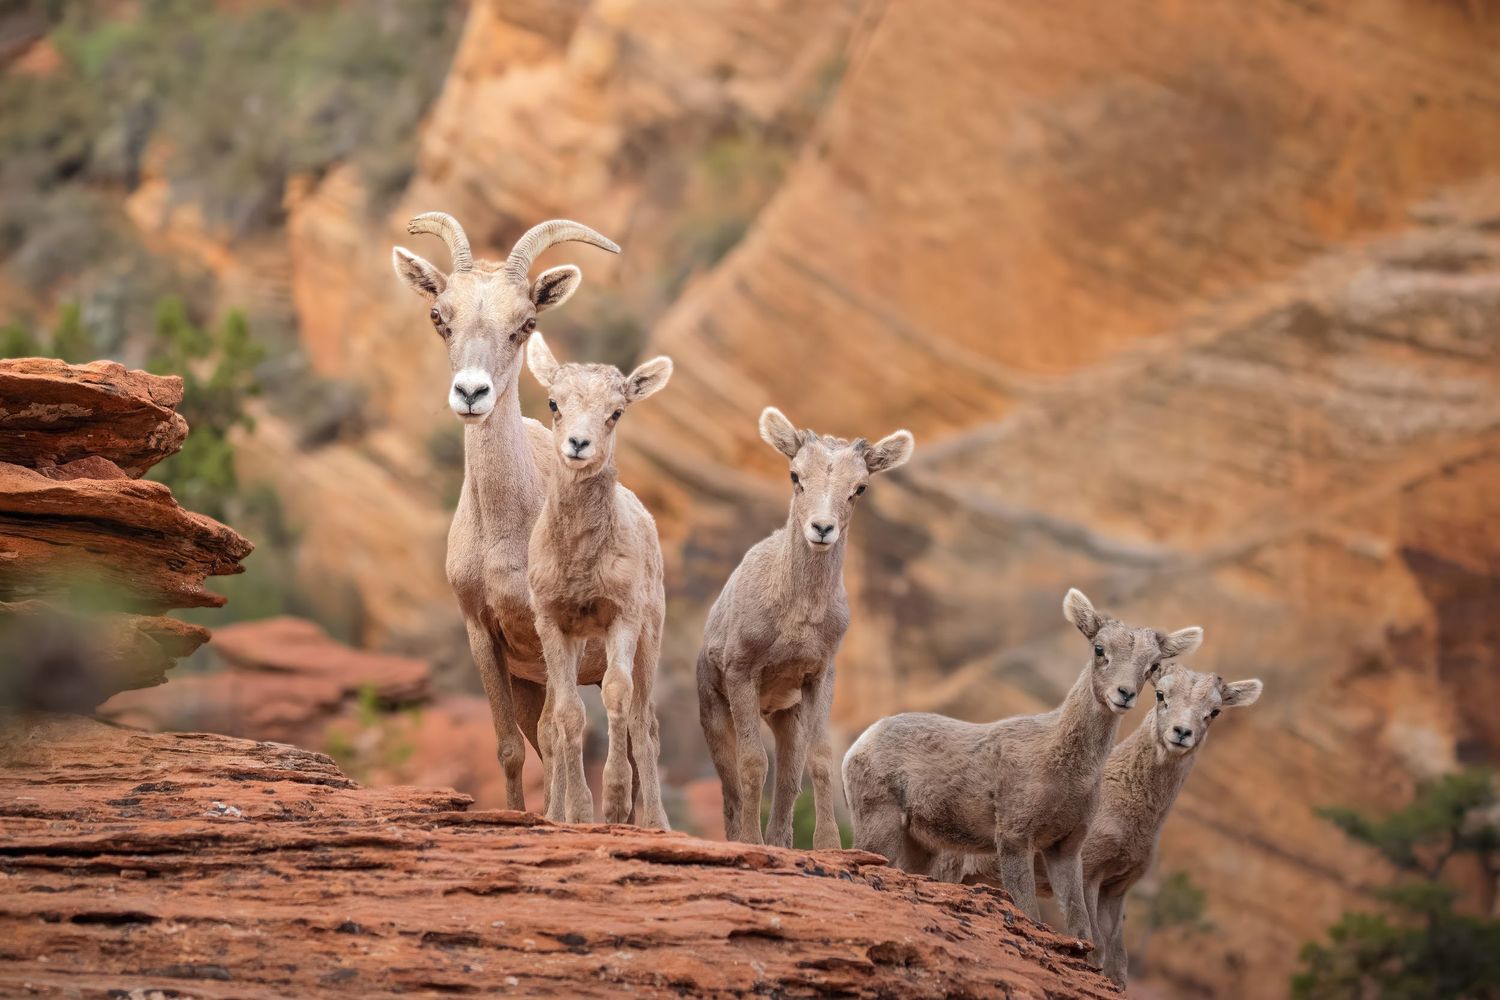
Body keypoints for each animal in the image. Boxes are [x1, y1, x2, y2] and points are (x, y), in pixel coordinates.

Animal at [391, 213, 620, 811]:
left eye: (526, 323)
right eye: (439, 317)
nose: (472, 393)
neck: (505, 537)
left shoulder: (550, 636)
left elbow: (557, 736)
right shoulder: (485, 637)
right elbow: (513, 750)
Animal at [523, 334, 673, 828]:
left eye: (616, 411)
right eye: (554, 402)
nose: (578, 443)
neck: (581, 561)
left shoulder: (620, 617)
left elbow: (617, 695)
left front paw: (615, 803)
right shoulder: (553, 624)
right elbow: (568, 716)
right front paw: (577, 813)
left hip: (650, 638)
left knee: (645, 723)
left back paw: (655, 822)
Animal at [697, 407, 914, 849]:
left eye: (860, 487)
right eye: (795, 476)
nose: (822, 529)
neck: (796, 614)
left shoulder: (819, 675)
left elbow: (820, 759)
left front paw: (829, 846)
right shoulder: (741, 672)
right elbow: (752, 763)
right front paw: (751, 842)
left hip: (786, 718)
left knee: (787, 782)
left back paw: (781, 843)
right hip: (715, 712)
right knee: (730, 787)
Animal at [842, 589, 1203, 942]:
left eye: (1152, 664)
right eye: (1100, 649)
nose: (1124, 694)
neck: (1064, 767)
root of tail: (859, 744)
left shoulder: (1066, 848)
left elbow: (1081, 928)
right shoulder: (1015, 839)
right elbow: (1029, 912)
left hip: (921, 845)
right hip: (880, 824)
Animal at [933, 664, 1263, 985]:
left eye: (1215, 711)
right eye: (1160, 694)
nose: (1181, 733)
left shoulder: (1117, 888)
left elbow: (1118, 963)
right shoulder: (1089, 872)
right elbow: (1096, 948)